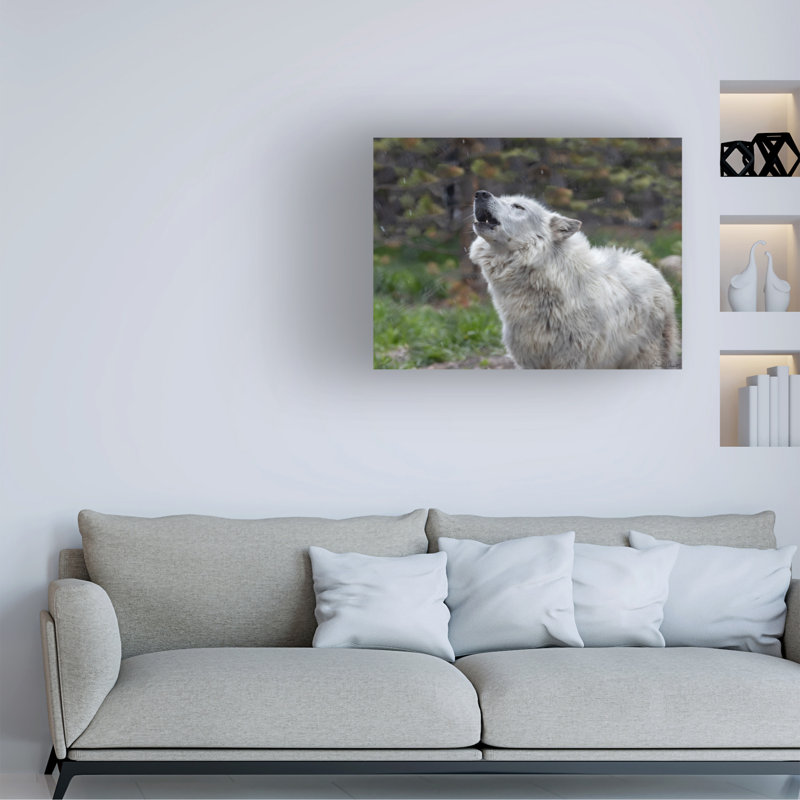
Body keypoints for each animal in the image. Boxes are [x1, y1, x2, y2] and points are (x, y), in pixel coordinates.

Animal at [469, 190, 678, 369]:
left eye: (518, 206)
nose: (480, 194)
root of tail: (646, 263)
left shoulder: (571, 360)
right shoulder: (528, 361)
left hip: (645, 358)